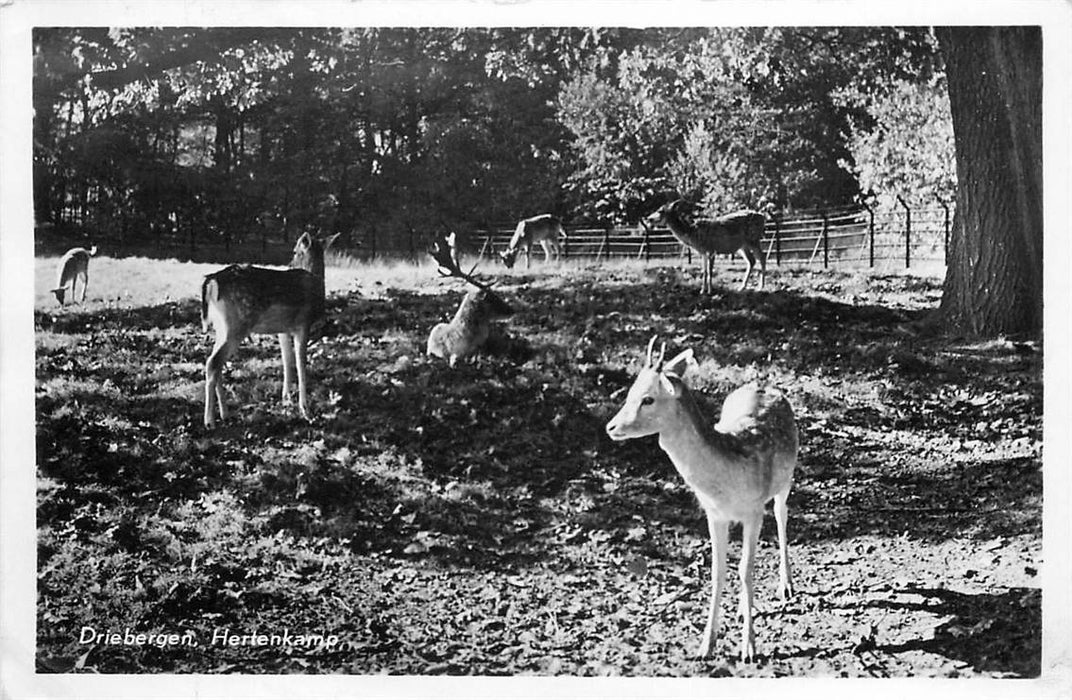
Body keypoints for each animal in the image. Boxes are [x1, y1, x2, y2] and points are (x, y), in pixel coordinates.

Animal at [199, 230, 336, 426]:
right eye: (294, 251)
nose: (289, 264)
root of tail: (211, 283)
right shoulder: (303, 324)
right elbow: (301, 366)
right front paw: (306, 411)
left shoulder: (283, 330)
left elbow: (287, 360)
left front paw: (286, 400)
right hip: (235, 326)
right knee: (213, 363)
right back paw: (210, 420)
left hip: (222, 327)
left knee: (215, 363)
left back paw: (225, 413)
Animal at [604, 338, 797, 660]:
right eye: (630, 392)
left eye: (648, 399)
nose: (611, 427)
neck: (725, 483)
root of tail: (764, 383)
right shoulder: (714, 514)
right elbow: (719, 572)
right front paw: (706, 645)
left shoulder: (753, 510)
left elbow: (746, 570)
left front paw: (749, 648)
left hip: (787, 476)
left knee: (782, 515)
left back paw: (786, 586)